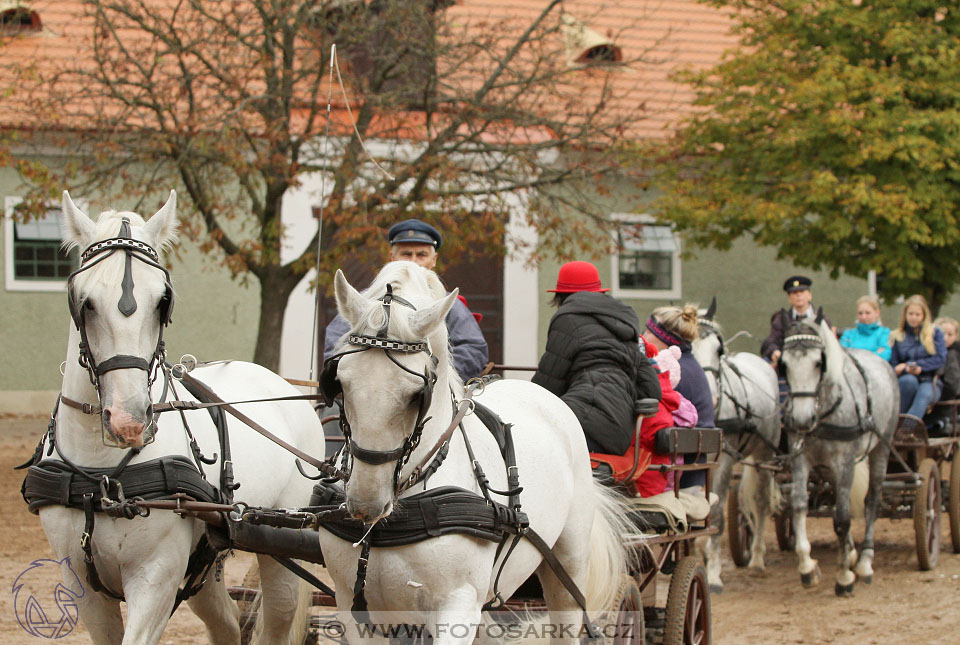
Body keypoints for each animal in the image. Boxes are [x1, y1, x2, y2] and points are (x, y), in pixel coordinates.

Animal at [30, 190, 324, 640]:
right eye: (86, 302)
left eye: (162, 301)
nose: (129, 420)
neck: (103, 476)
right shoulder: (82, 585)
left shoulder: (156, 578)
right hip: (207, 560)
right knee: (226, 624)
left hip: (280, 546)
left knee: (276, 620)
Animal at [316, 262, 632, 644]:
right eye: (340, 382)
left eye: (416, 394)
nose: (365, 504)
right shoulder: (352, 605)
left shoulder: (459, 603)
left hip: (567, 565)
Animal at [692, 300, 784, 592]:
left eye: (718, 349)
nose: (709, 396)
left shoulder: (723, 460)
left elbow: (716, 512)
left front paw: (713, 573)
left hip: (765, 454)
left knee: (761, 502)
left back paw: (757, 559)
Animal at [780, 310, 900, 592]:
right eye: (785, 365)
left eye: (818, 363)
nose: (801, 419)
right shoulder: (801, 458)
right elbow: (799, 504)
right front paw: (807, 566)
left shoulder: (844, 460)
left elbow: (843, 518)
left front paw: (844, 576)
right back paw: (852, 553)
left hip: (881, 448)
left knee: (872, 500)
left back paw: (865, 562)